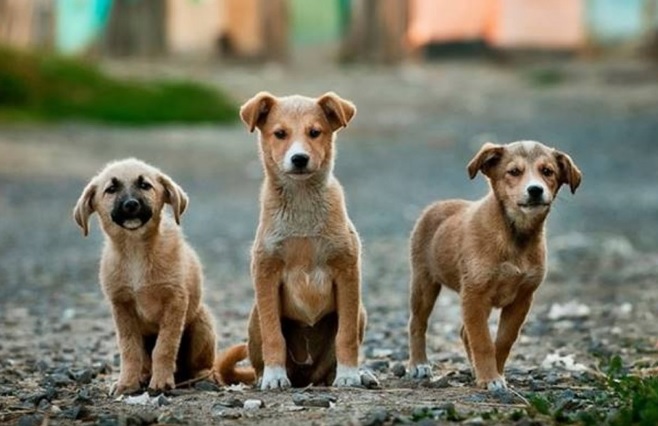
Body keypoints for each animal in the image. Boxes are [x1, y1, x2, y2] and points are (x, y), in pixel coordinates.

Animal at [73, 160, 218, 396]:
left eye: (145, 185)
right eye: (111, 189)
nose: (131, 205)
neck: (135, 251)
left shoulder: (175, 301)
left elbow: (165, 347)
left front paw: (161, 382)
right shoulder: (121, 306)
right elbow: (129, 349)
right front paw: (127, 383)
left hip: (201, 323)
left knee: (201, 364)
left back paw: (203, 376)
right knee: (144, 360)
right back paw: (143, 376)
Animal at [217, 92, 366, 390]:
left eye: (315, 132)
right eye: (280, 134)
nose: (299, 158)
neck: (302, 203)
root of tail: (306, 377)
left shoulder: (347, 271)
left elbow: (345, 336)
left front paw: (349, 374)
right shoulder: (266, 273)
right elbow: (274, 336)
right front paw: (274, 376)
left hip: (361, 312)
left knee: (329, 365)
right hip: (254, 317)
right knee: (261, 357)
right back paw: (266, 376)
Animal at [404, 141, 580, 390]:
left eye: (547, 171)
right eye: (514, 172)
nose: (535, 190)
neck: (514, 235)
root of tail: (436, 205)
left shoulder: (522, 298)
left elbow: (503, 340)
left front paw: (495, 373)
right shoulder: (474, 295)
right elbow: (483, 341)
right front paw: (489, 378)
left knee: (463, 332)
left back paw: (472, 369)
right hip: (424, 282)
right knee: (417, 323)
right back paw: (418, 364)